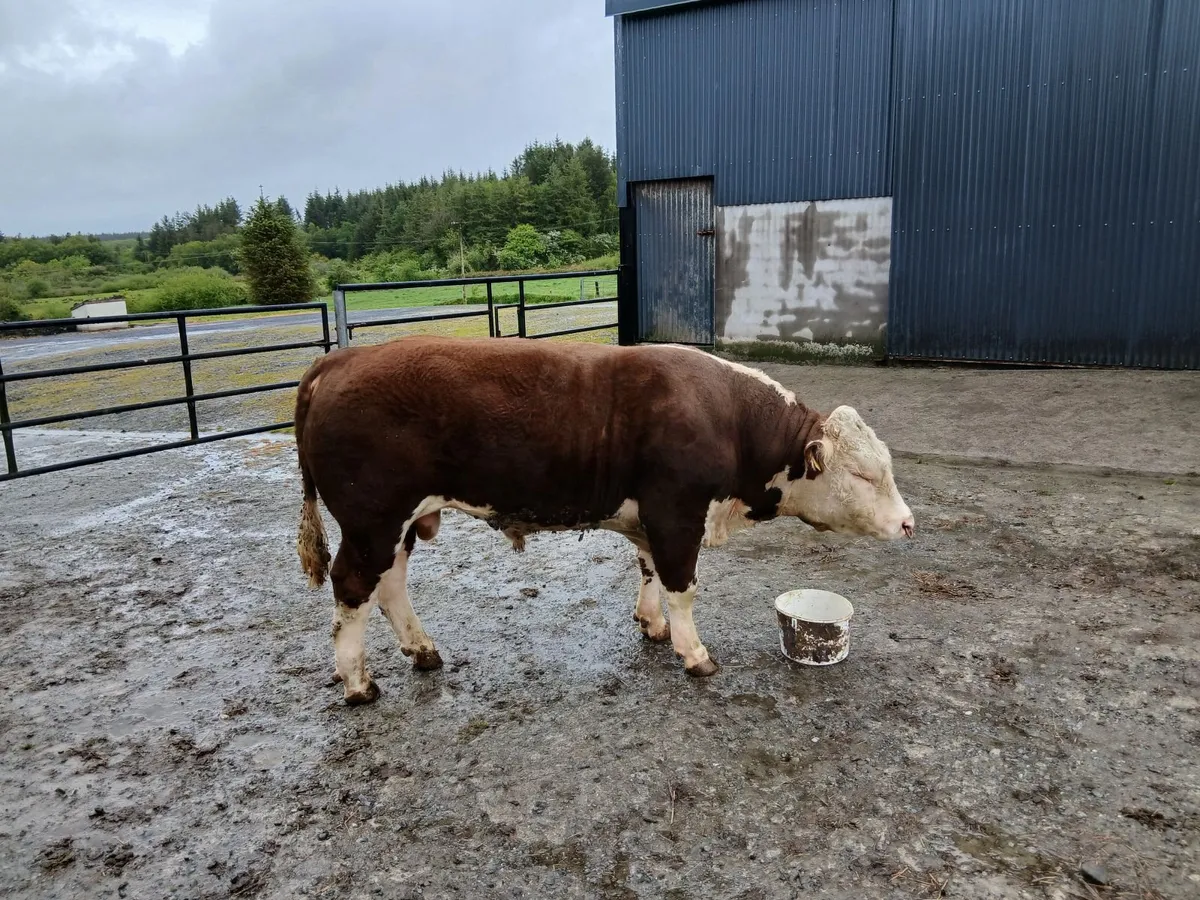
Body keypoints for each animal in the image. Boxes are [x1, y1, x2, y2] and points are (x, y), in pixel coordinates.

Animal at [293, 335, 914, 705]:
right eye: (864, 475)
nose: (909, 524)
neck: (729, 420)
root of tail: (340, 358)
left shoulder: (652, 519)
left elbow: (648, 571)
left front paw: (652, 625)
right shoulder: (677, 514)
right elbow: (683, 586)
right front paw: (695, 654)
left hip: (394, 525)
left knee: (390, 583)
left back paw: (423, 652)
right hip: (372, 518)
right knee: (354, 587)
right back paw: (357, 681)